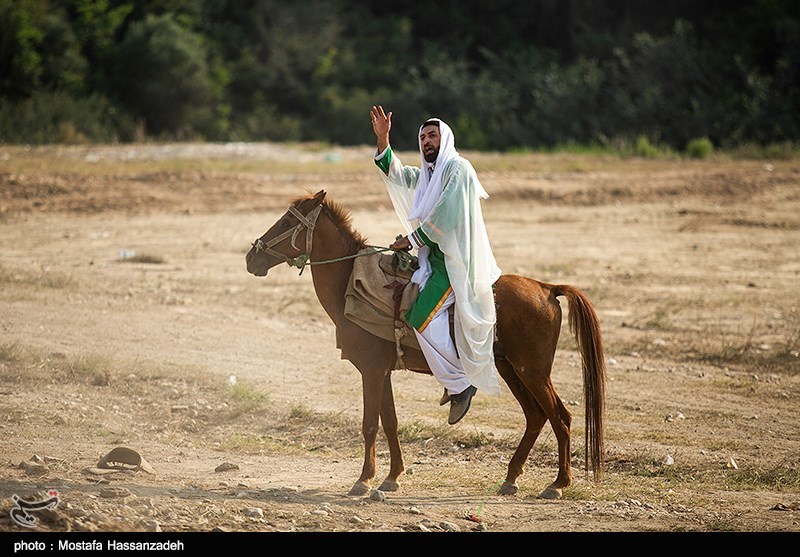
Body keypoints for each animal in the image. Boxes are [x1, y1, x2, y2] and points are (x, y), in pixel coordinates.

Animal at [244, 189, 608, 498]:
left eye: (287, 222)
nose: (251, 257)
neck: (351, 281)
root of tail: (547, 288)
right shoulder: (382, 372)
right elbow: (390, 423)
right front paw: (392, 477)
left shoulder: (371, 371)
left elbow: (370, 425)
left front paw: (363, 480)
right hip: (510, 369)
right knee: (535, 417)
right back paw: (511, 477)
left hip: (532, 371)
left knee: (560, 417)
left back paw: (558, 484)